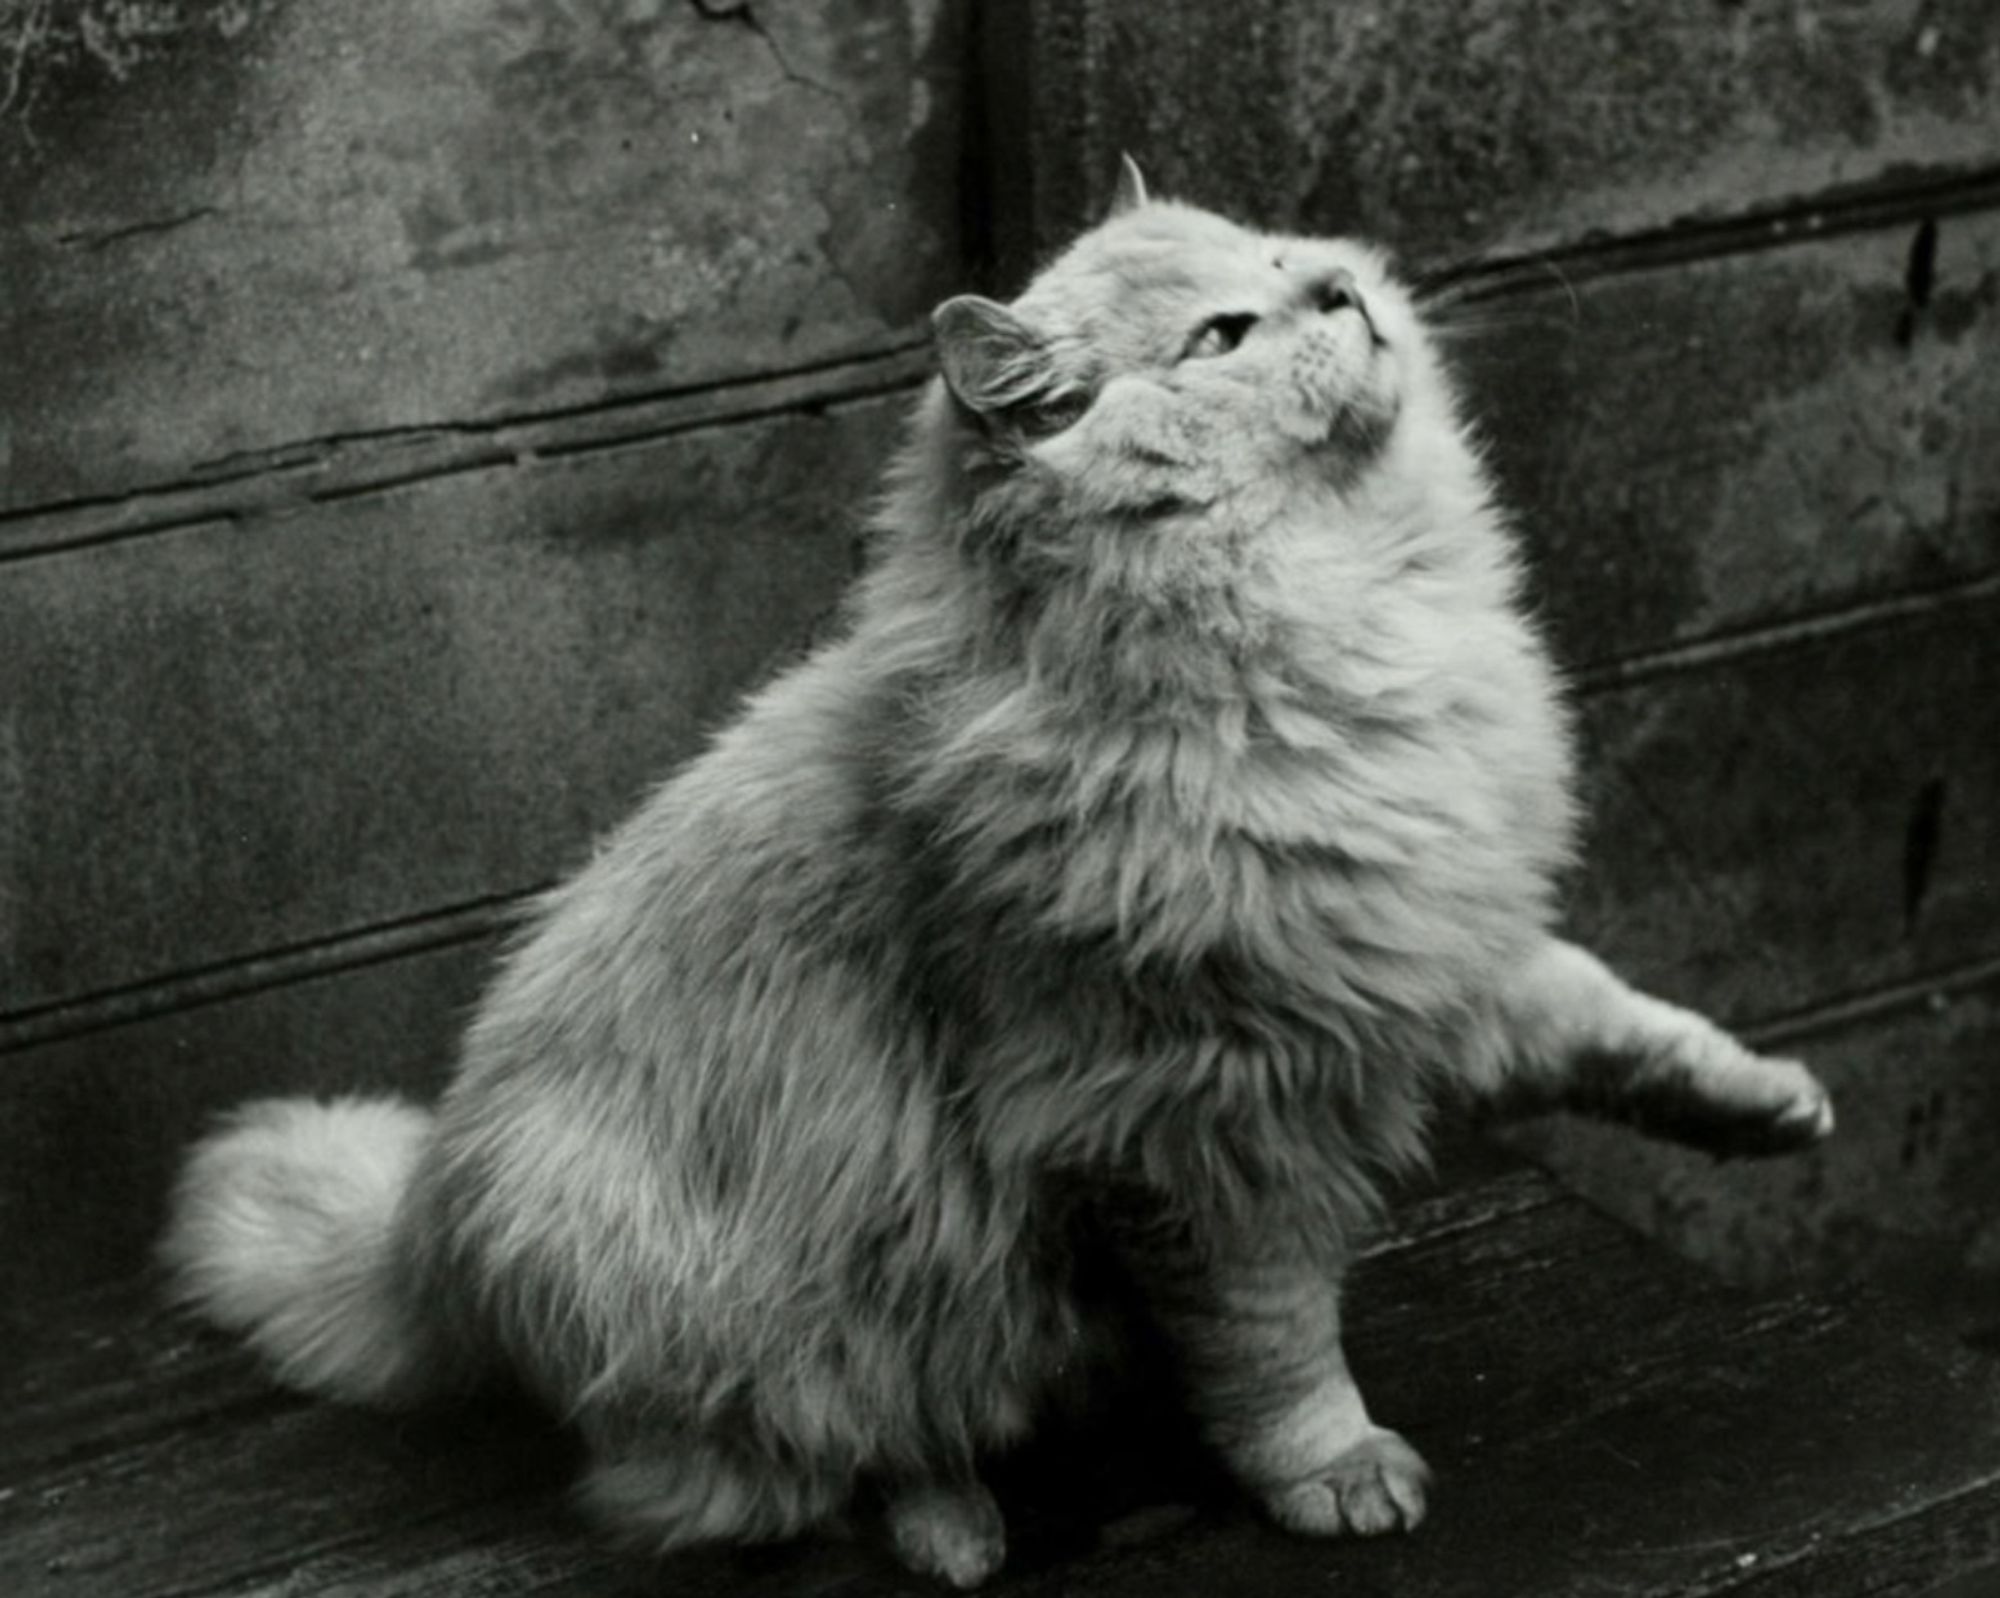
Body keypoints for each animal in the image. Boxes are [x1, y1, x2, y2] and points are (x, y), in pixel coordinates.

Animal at [164, 162, 1832, 1584]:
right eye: (1225, 333)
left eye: (1285, 258)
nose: (1343, 289)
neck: (1333, 630)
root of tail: (430, 1219)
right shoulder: (1197, 1124)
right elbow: (1276, 1349)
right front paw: (1335, 1472)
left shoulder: (1430, 950)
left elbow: (1620, 1024)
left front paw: (1765, 1108)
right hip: (742, 1307)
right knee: (791, 1464)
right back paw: (953, 1527)